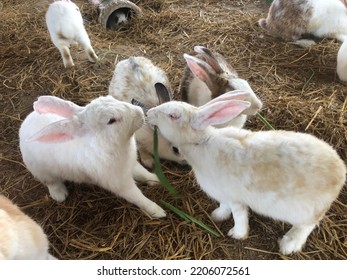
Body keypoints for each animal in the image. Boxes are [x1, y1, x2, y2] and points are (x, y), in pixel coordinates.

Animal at [19, 95, 167, 219]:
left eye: (110, 98)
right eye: (111, 121)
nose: (139, 112)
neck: (107, 143)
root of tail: (24, 125)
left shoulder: (132, 165)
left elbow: (144, 174)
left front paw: (157, 180)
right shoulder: (120, 183)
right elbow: (138, 197)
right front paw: (158, 211)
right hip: (42, 172)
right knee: (52, 183)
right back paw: (60, 195)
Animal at [146, 90, 346, 256]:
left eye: (173, 115)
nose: (148, 113)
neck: (201, 141)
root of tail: (340, 171)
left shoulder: (233, 198)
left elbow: (238, 215)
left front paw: (236, 233)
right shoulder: (225, 196)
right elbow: (226, 208)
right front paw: (217, 216)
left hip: (305, 213)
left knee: (306, 227)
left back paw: (288, 245)